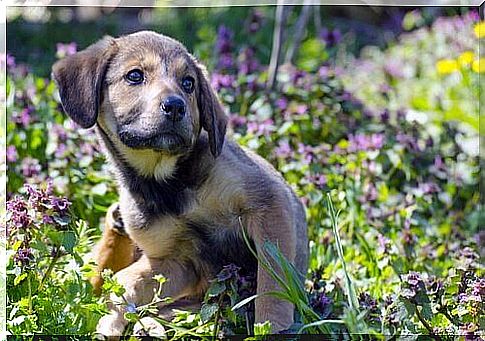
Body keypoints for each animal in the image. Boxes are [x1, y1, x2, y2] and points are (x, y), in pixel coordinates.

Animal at [51, 30, 308, 334]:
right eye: (134, 76)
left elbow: (272, 282)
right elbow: (128, 284)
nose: (175, 106)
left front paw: (273, 327)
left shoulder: (267, 203)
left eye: (188, 83)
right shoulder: (177, 260)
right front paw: (110, 321)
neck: (165, 182)